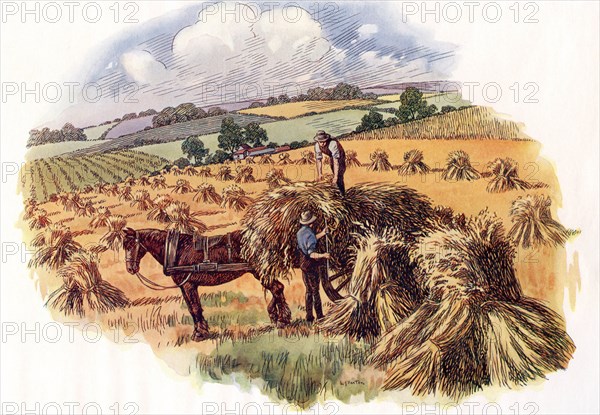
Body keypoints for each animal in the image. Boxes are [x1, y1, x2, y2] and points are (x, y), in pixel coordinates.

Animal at [122, 228, 290, 342]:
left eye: (130, 245)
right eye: (124, 246)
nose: (130, 269)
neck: (177, 249)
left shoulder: (189, 284)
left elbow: (196, 308)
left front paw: (199, 333)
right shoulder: (186, 286)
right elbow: (192, 309)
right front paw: (201, 330)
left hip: (259, 272)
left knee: (277, 288)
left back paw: (282, 320)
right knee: (278, 289)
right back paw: (276, 315)